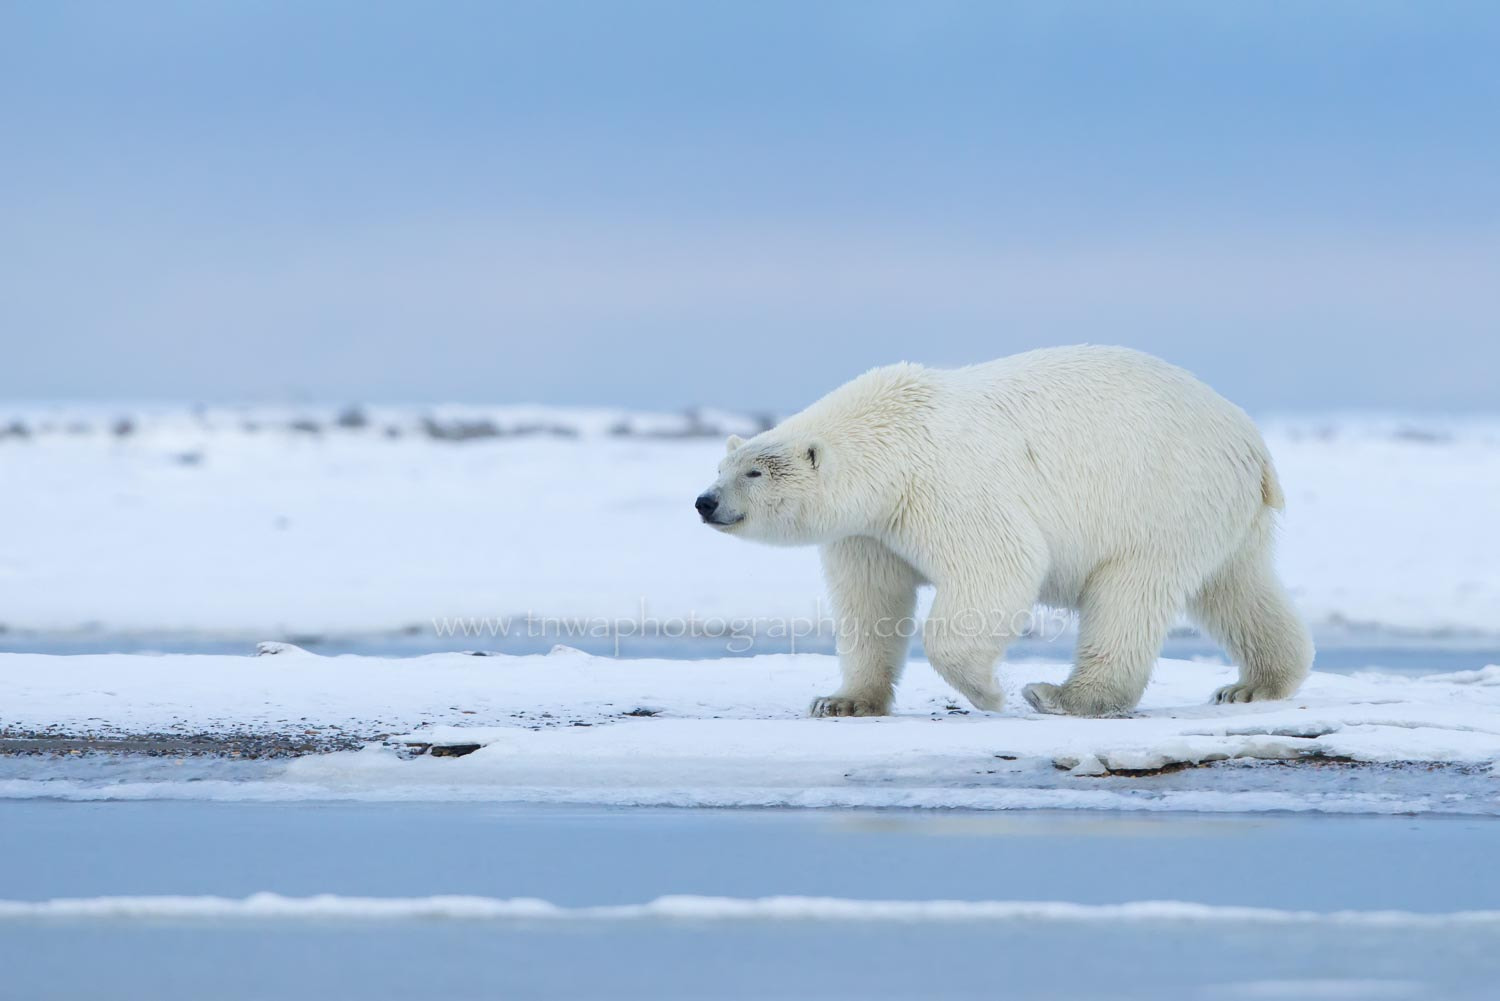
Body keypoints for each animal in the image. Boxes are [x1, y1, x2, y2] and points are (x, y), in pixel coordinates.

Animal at [693, 346, 1314, 720]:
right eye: (721, 467)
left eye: (753, 472)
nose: (705, 502)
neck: (894, 438)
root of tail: (1251, 441)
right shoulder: (869, 531)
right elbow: (870, 602)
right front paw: (841, 701)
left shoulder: (944, 485)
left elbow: (1000, 565)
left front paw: (988, 691)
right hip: (1219, 512)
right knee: (1238, 587)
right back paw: (1254, 685)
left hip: (1163, 496)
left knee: (1129, 594)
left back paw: (1062, 694)